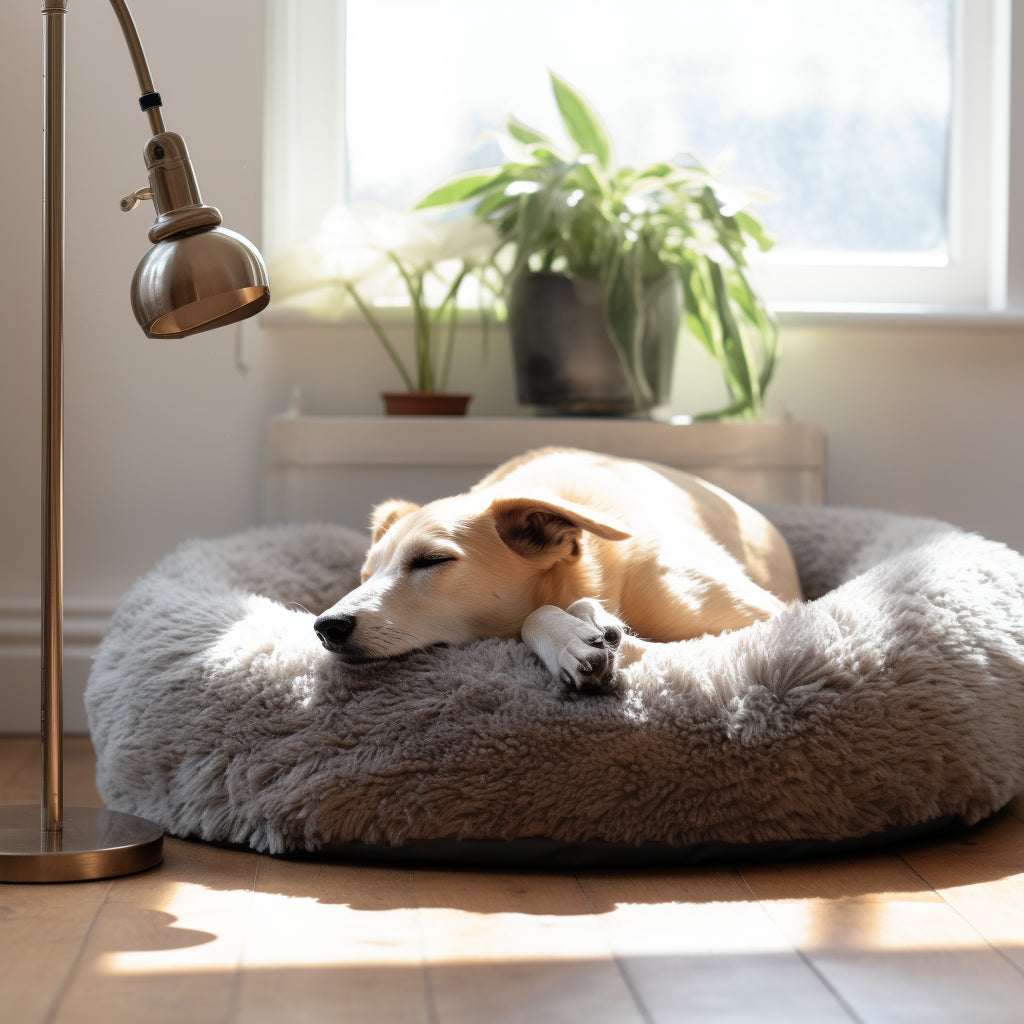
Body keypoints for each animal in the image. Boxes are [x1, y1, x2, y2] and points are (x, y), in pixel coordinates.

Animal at [311, 446, 798, 688]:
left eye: (433, 560)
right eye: (365, 576)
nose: (326, 626)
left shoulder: (771, 621)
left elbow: (539, 614)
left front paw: (580, 631)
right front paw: (583, 634)